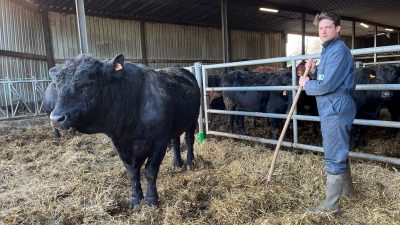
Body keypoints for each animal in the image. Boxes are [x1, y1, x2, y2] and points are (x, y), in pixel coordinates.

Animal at [49, 54, 200, 207]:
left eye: (88, 84)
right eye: (56, 86)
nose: (56, 118)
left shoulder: (160, 141)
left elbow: (150, 170)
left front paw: (151, 199)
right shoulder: (120, 143)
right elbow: (132, 172)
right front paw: (136, 199)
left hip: (193, 120)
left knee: (189, 140)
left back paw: (190, 163)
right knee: (175, 141)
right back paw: (177, 163)